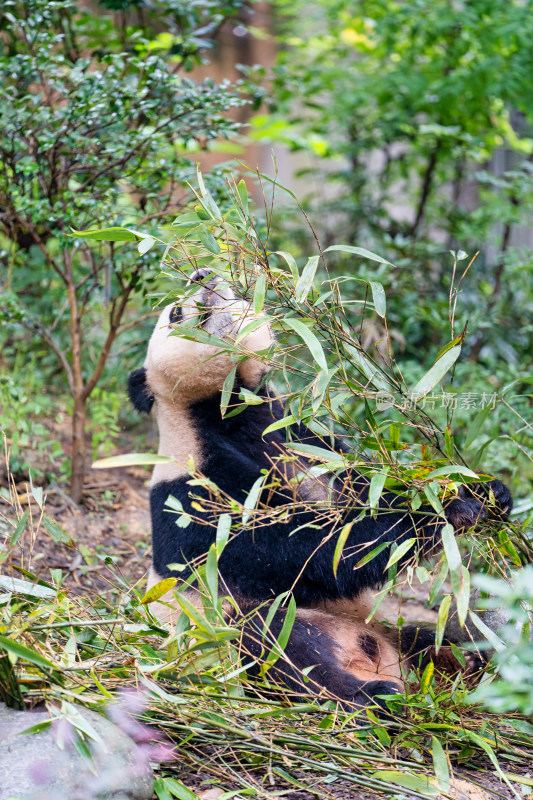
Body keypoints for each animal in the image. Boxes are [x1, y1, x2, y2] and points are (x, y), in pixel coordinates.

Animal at [128, 270, 512, 712]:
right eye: (176, 312)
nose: (203, 273)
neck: (224, 410)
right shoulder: (196, 493)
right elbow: (319, 549)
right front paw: (447, 510)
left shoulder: (301, 439)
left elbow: (365, 488)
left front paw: (484, 492)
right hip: (219, 632)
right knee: (274, 645)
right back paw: (371, 698)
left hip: (387, 627)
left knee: (430, 636)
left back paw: (473, 656)